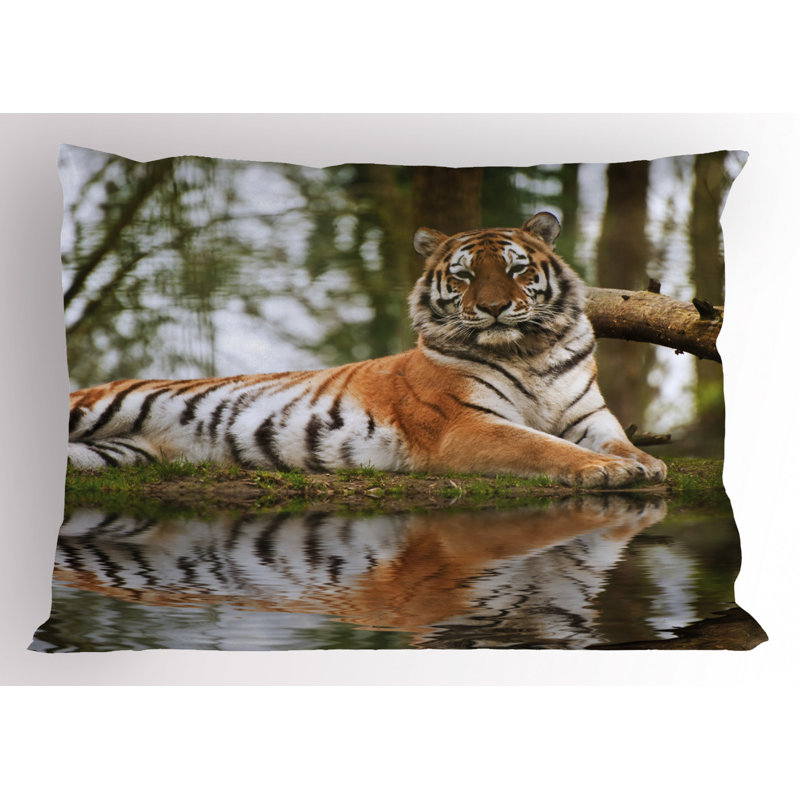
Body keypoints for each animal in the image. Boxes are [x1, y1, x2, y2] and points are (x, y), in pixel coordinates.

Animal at [67, 211, 666, 488]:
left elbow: (617, 440)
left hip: (116, 454)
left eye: (516, 269)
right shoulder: (465, 425)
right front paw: (605, 471)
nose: (494, 308)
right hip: (96, 408)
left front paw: (646, 462)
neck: (529, 352)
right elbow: (541, 446)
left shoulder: (589, 415)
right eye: (465, 275)